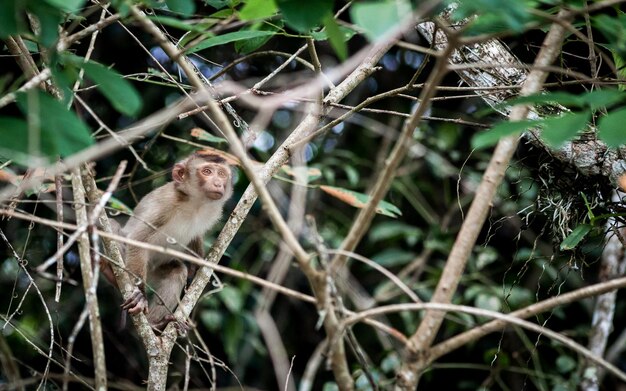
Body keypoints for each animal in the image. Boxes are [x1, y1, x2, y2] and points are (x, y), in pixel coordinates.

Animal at [108, 152, 233, 330]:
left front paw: (196, 265)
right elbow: (139, 240)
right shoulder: (165, 205)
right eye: (207, 171)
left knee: (177, 272)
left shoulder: (213, 212)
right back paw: (111, 274)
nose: (218, 183)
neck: (195, 204)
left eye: (222, 174)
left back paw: (155, 324)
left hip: (153, 269)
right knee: (112, 225)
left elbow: (195, 237)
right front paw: (140, 295)